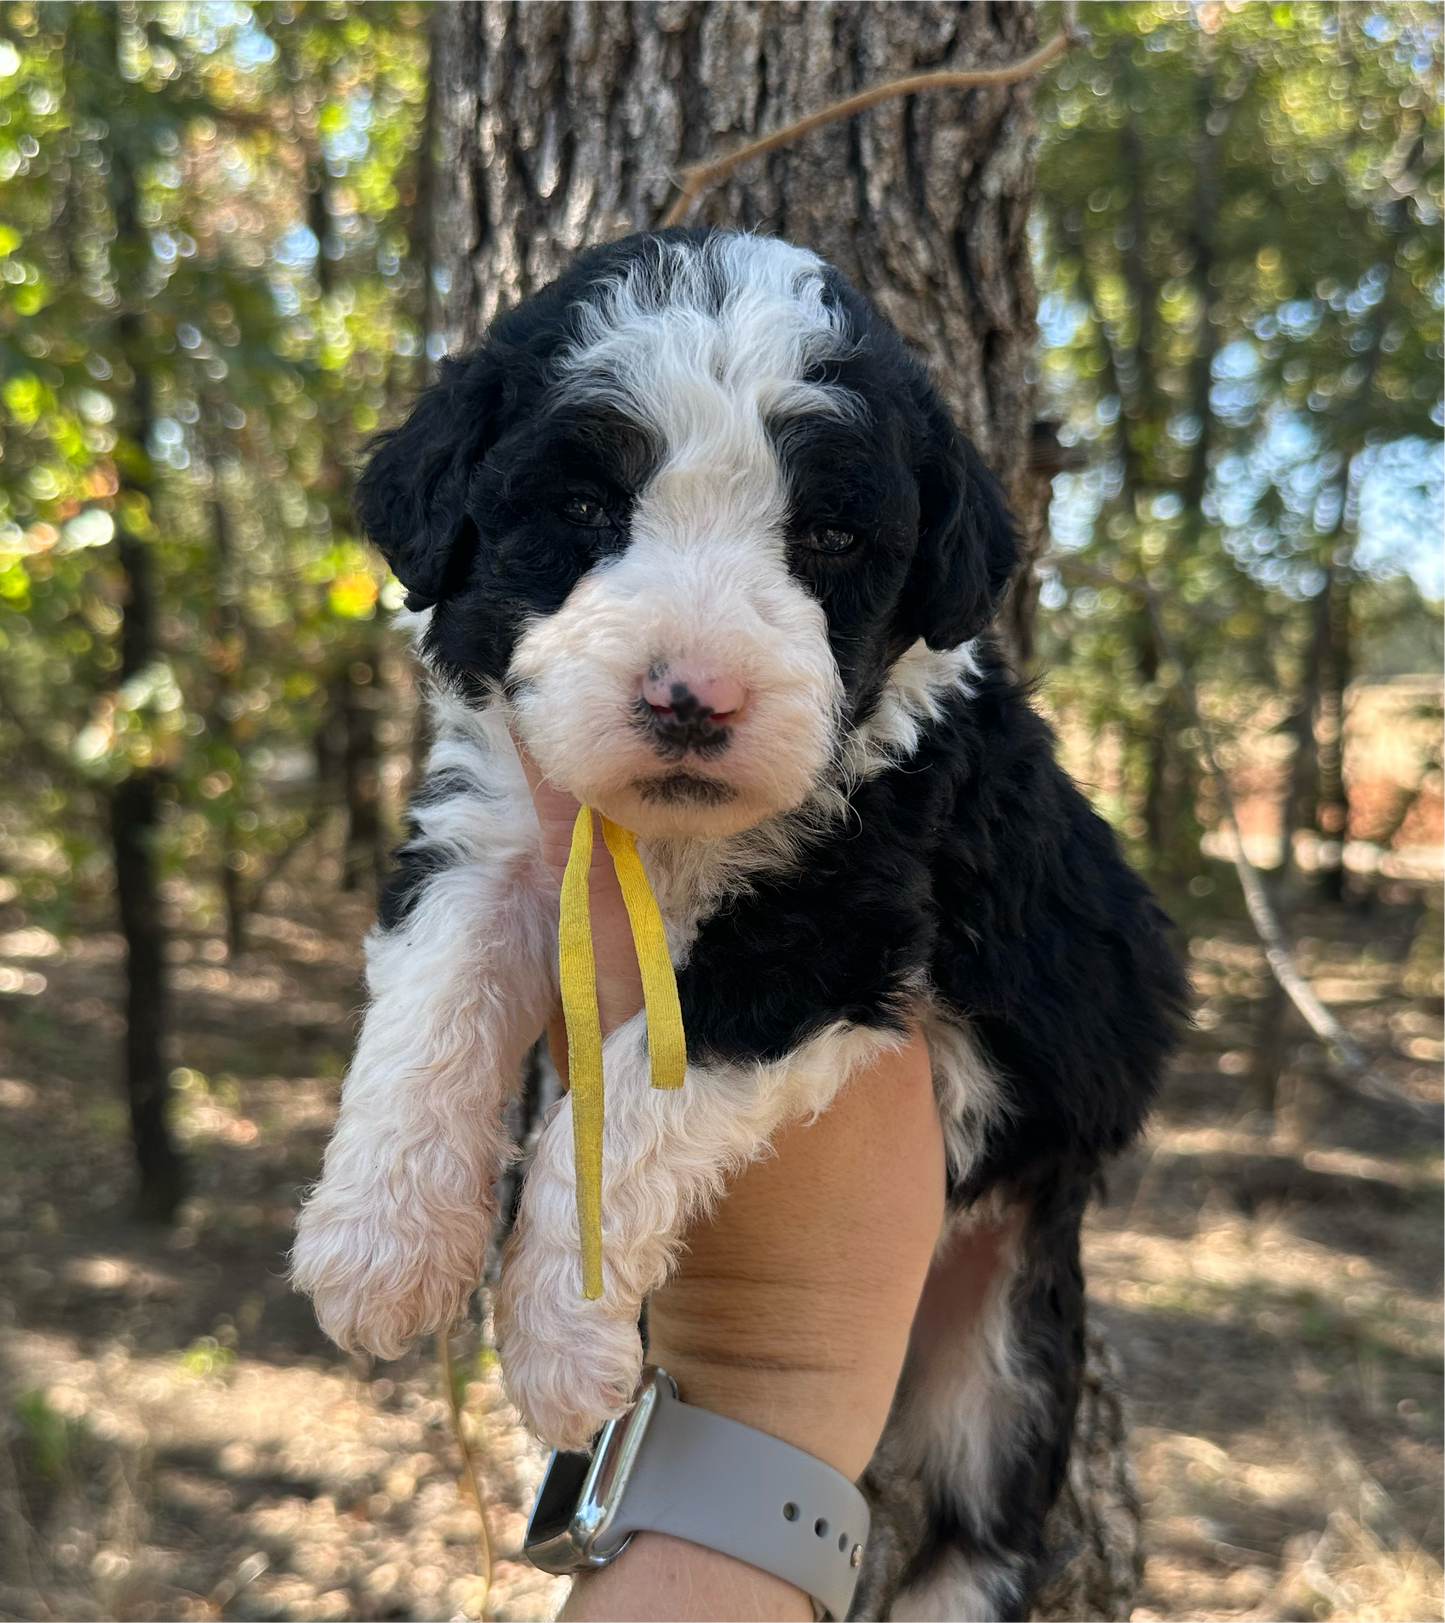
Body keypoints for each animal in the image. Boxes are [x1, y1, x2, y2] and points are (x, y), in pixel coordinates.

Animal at [290, 228, 1181, 1623]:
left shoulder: (831, 932)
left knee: (980, 1539)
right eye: (584, 510)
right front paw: (379, 1242)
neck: (661, 842)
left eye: (824, 533)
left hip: (1011, 1346)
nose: (689, 698)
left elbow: (623, 1103)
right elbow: (428, 1013)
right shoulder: (490, 837)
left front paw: (558, 1331)